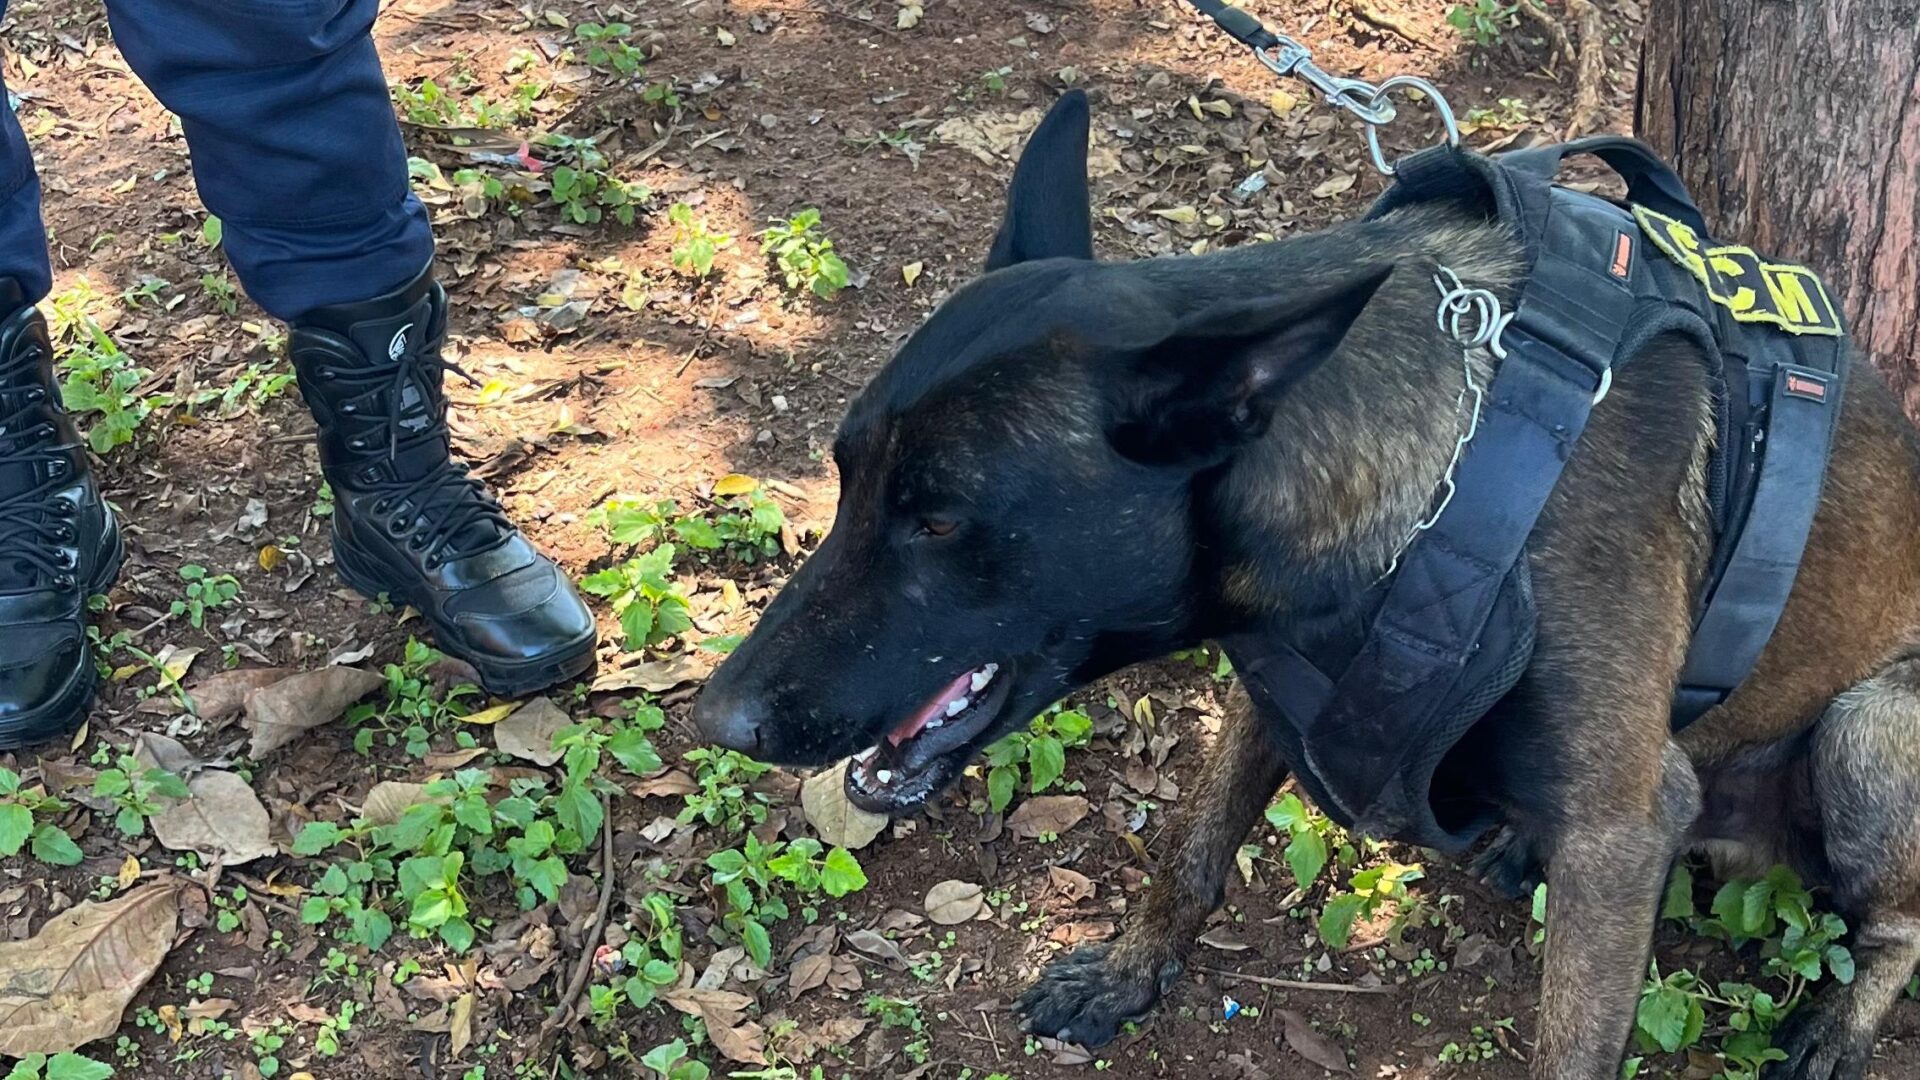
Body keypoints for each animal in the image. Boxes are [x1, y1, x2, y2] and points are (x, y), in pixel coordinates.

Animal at [698, 92, 1920, 1076]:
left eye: (941, 520)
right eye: (847, 478)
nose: (718, 718)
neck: (1450, 473)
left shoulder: (1625, 832)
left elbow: (1574, 1044)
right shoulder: (1279, 690)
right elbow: (1192, 849)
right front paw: (1130, 973)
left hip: (1863, 729)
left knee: (1894, 929)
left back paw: (1840, 1026)